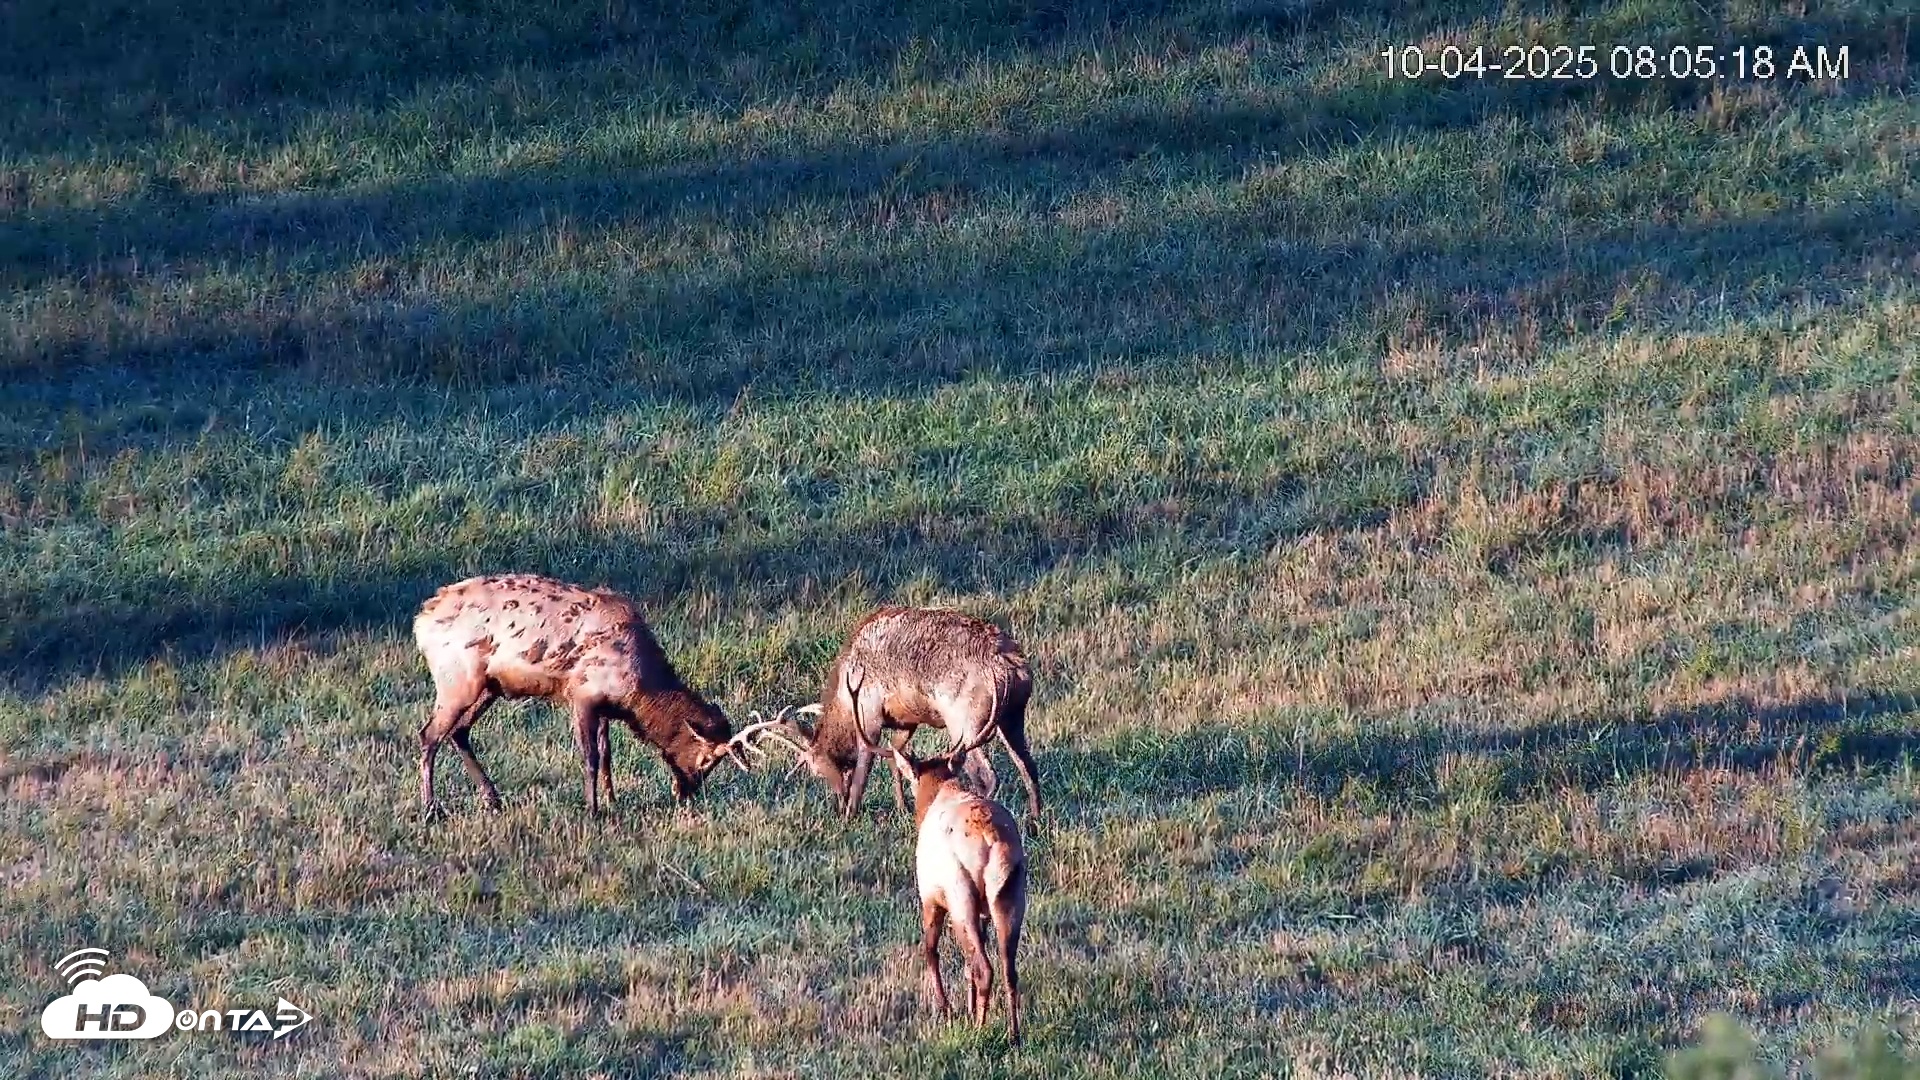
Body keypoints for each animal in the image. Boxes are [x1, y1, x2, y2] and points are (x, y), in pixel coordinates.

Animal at [412, 573, 774, 816]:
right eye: (707, 759)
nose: (687, 792)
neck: (638, 692)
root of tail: (421, 619)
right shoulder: (583, 694)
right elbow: (590, 757)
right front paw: (593, 809)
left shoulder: (604, 706)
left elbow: (607, 754)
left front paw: (612, 801)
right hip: (457, 678)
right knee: (429, 734)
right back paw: (431, 808)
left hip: (489, 686)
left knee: (458, 731)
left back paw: (493, 798)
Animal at [738, 605, 1042, 820]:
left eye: (818, 771)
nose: (838, 804)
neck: (843, 696)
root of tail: (1013, 668)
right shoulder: (905, 721)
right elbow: (896, 759)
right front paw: (903, 806)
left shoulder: (869, 710)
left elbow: (865, 763)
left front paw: (852, 814)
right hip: (1013, 716)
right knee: (1028, 767)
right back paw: (1035, 822)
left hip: (965, 720)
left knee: (987, 776)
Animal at [850, 665, 1028, 1044]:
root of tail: (992, 843)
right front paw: (967, 1007)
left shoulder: (929, 895)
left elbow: (929, 949)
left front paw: (946, 1008)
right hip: (1010, 894)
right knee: (1008, 968)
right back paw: (1013, 1034)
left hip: (960, 895)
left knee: (983, 966)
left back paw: (979, 1031)